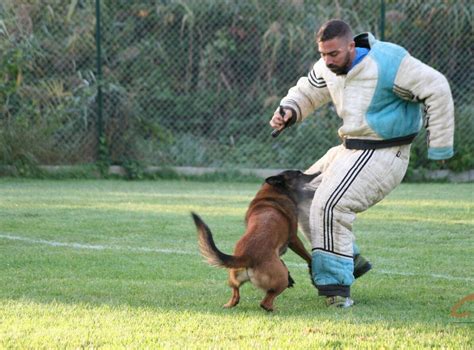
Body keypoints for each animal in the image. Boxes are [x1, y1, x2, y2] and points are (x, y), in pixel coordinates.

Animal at [191, 170, 320, 312]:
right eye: (299, 174)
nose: (318, 172)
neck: (274, 192)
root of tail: (246, 257)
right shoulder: (293, 239)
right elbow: (307, 256)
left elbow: (283, 260)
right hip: (280, 280)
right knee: (265, 302)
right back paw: (276, 309)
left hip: (234, 278)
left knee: (235, 294)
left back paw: (230, 304)